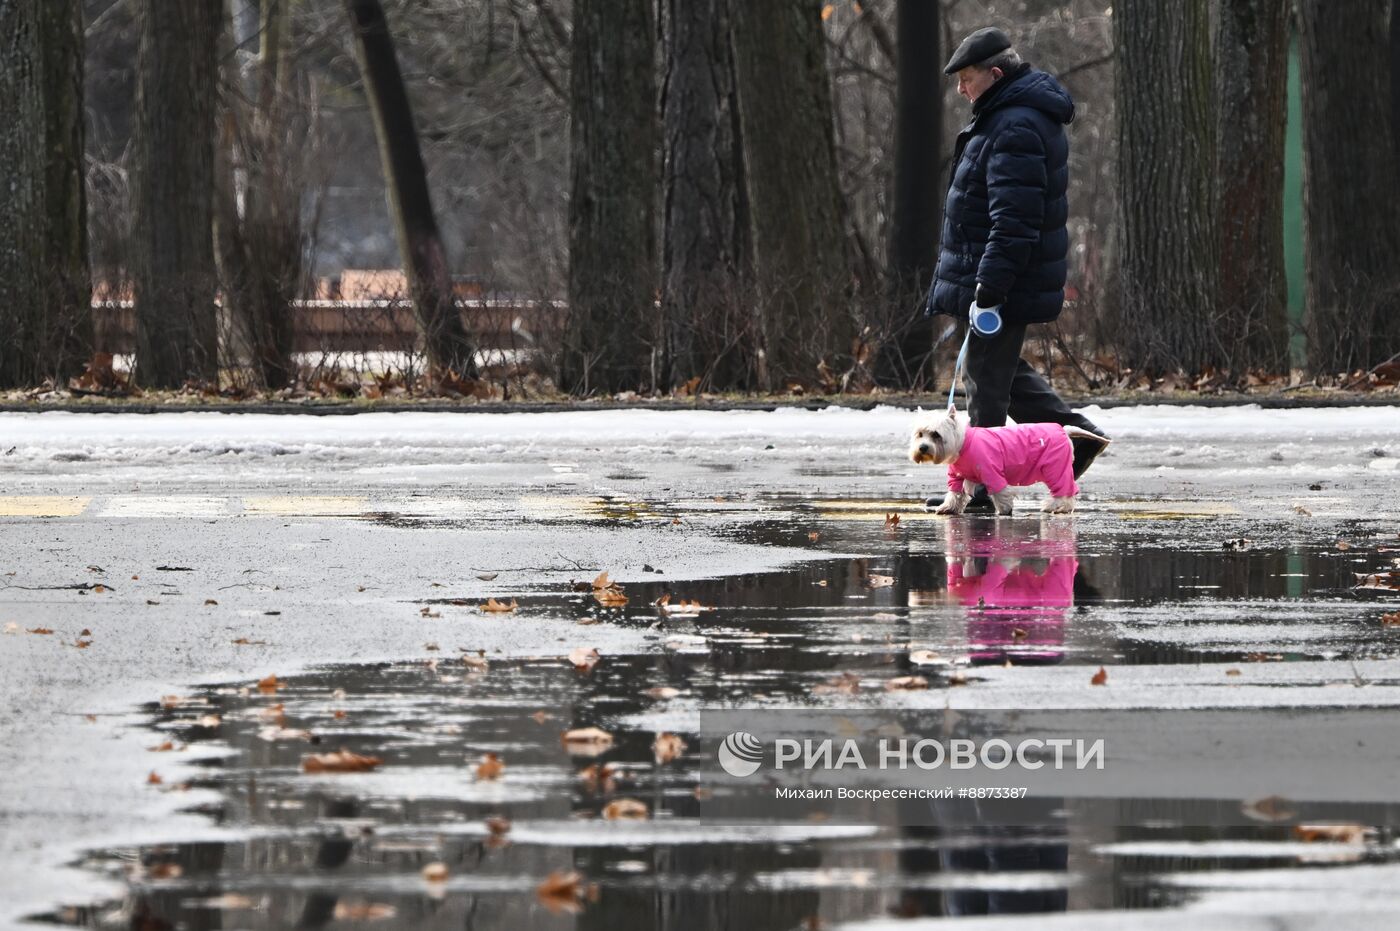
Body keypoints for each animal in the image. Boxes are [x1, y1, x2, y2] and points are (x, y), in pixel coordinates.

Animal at [907, 411, 1103, 515]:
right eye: (920, 434)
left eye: (936, 434)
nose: (923, 448)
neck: (962, 444)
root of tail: (1064, 430)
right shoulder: (957, 476)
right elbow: (955, 494)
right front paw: (947, 507)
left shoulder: (991, 472)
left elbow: (1000, 492)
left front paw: (1004, 510)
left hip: (1055, 467)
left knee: (1065, 491)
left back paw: (1056, 507)